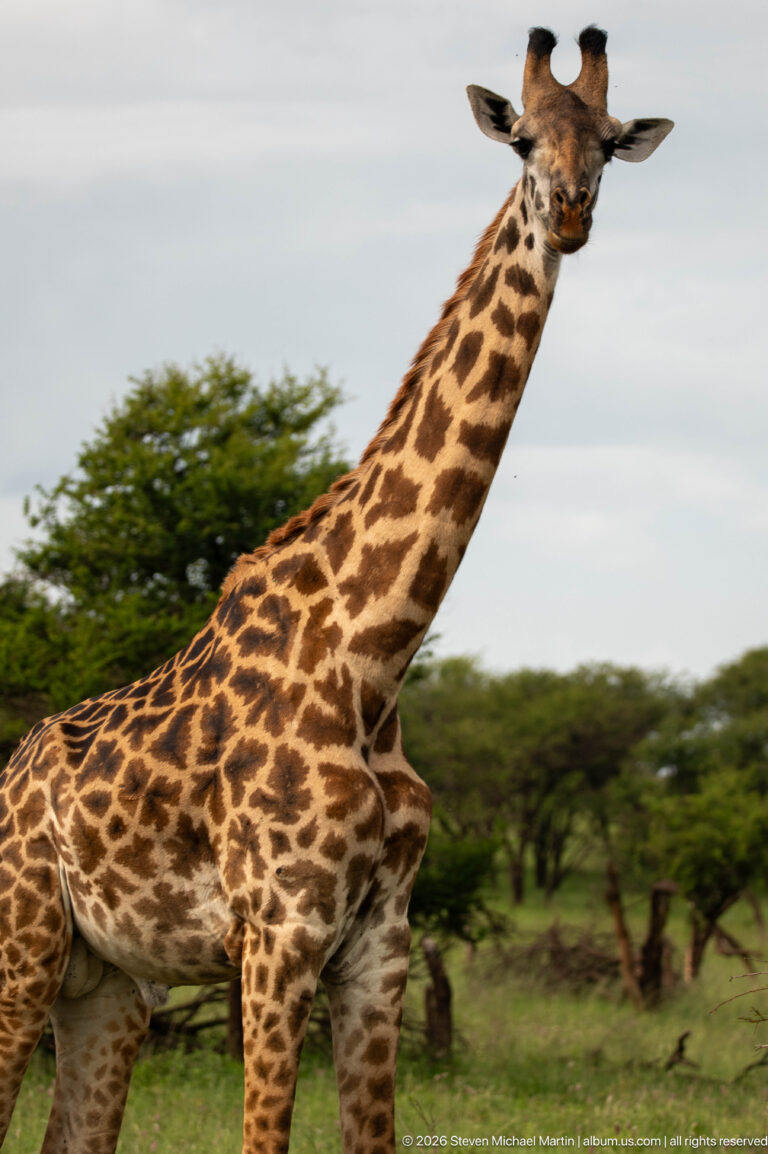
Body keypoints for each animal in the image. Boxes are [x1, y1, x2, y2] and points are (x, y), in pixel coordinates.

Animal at [0, 26, 672, 1154]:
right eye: (522, 139)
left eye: (613, 142)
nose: (571, 212)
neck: (374, 649)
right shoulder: (278, 931)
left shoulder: (382, 938)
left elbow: (373, 1132)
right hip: (20, 948)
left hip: (108, 985)